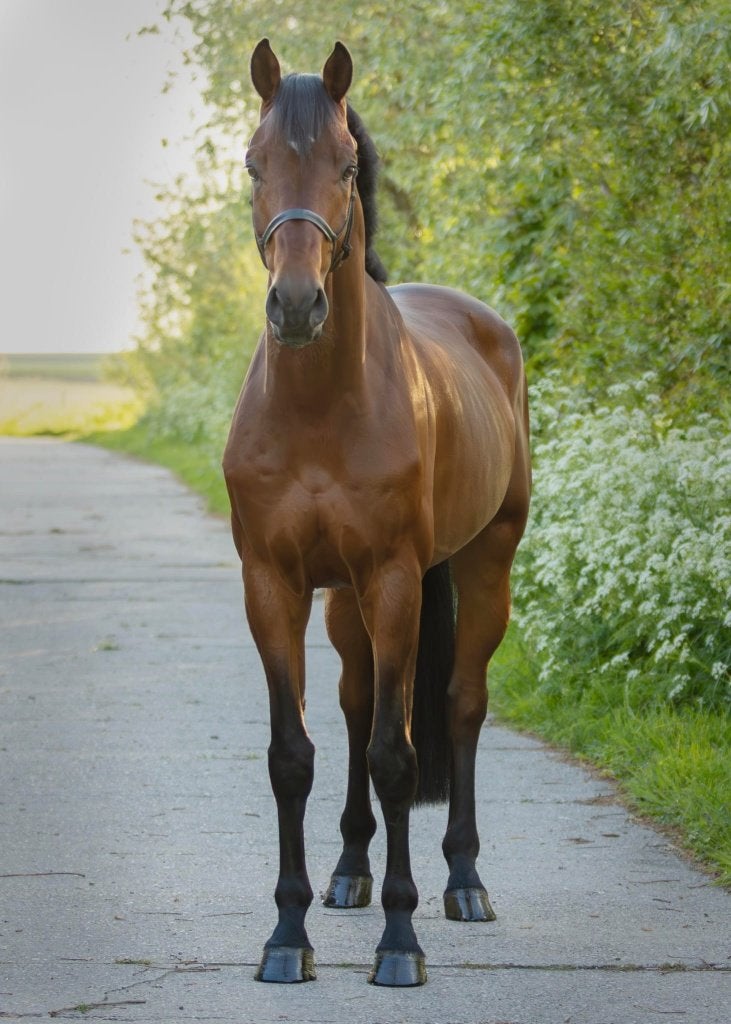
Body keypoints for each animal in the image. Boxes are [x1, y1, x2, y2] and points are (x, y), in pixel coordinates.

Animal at [223, 39, 531, 987]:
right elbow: (294, 758)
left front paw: (401, 943)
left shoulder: (395, 581)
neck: (323, 408)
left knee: (459, 705)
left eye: (348, 166)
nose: (295, 305)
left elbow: (398, 758)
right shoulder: (274, 586)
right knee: (360, 703)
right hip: (345, 602)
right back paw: (350, 872)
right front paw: (287, 937)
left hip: (483, 565)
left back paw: (464, 883)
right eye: (253, 163)